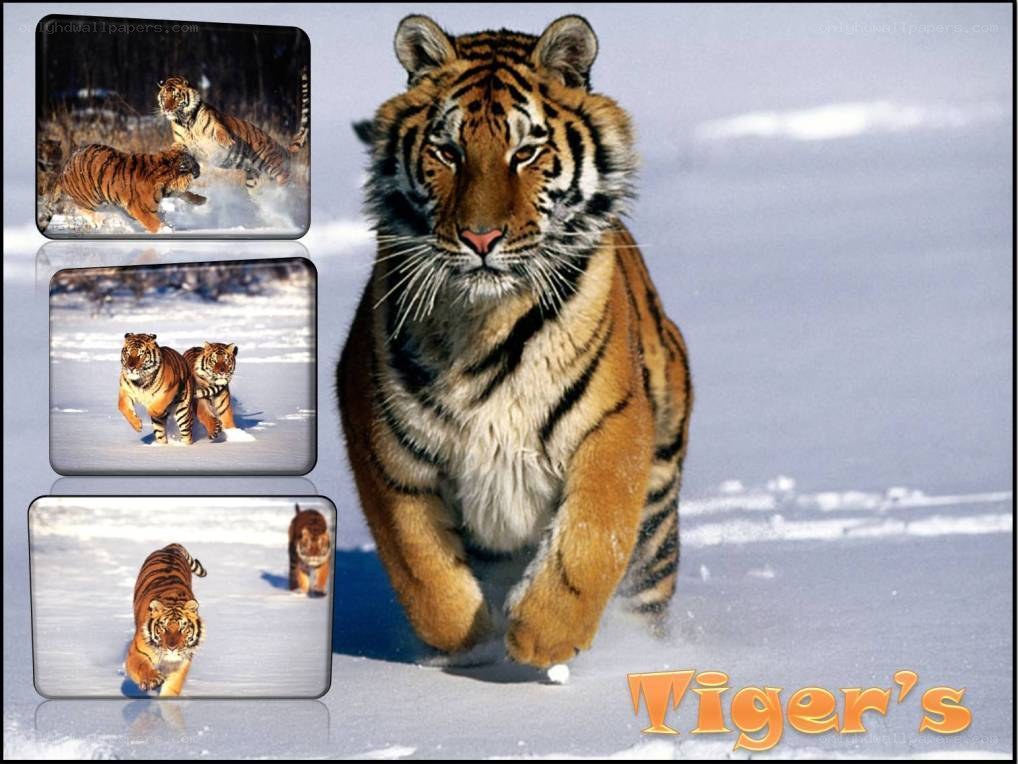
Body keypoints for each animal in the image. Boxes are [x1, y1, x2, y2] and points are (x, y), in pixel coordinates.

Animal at [44, 143, 205, 234]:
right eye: (194, 164)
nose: (200, 168)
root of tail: (63, 172)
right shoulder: (138, 207)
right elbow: (151, 222)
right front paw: (165, 230)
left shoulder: (168, 191)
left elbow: (185, 194)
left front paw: (202, 200)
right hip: (90, 198)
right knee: (83, 209)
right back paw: (97, 221)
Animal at [124, 543, 207, 697]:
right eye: (163, 627)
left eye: (183, 627)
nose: (172, 648)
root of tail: (170, 547)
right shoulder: (136, 653)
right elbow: (141, 666)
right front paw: (152, 679)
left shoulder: (181, 661)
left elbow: (173, 686)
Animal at [157, 67, 310, 189]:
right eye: (164, 97)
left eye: (176, 97)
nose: (166, 109)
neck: (185, 121)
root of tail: (285, 150)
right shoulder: (183, 143)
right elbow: (180, 149)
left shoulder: (216, 124)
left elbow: (221, 132)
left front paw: (228, 143)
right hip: (254, 182)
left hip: (280, 175)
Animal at [337, 16, 692, 669]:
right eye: (447, 151)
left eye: (525, 151)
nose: (481, 238)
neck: (484, 321)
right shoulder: (384, 446)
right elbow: (420, 566)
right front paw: (468, 643)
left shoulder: (612, 423)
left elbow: (592, 536)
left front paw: (542, 636)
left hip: (658, 513)